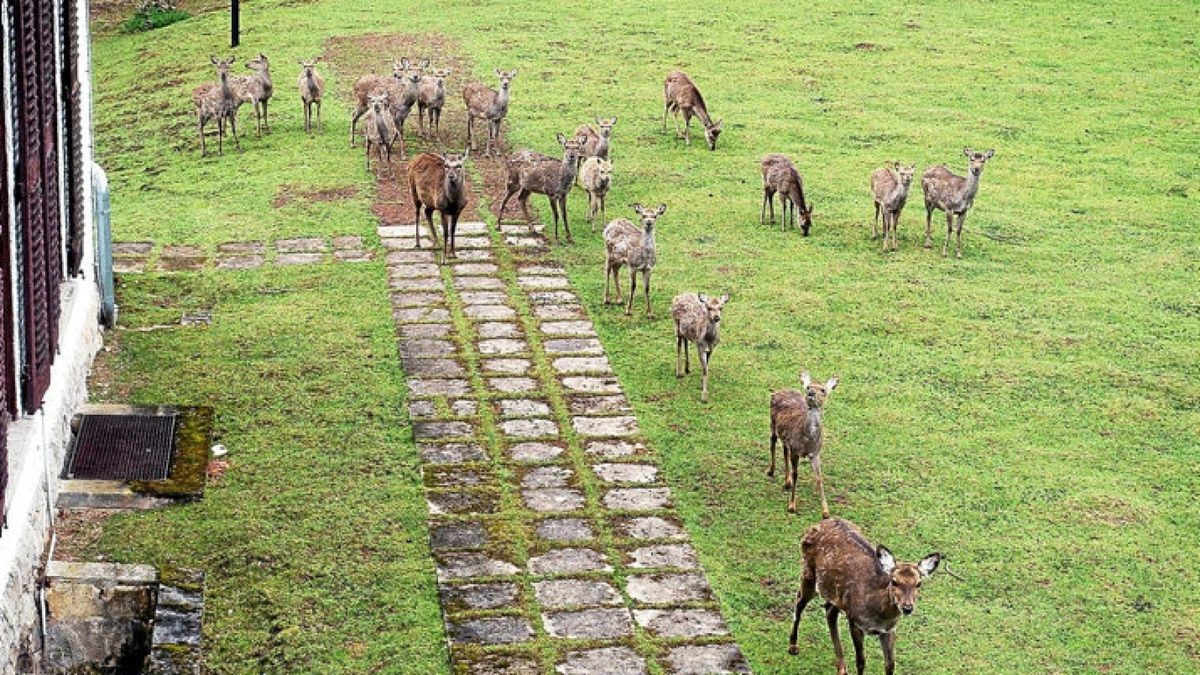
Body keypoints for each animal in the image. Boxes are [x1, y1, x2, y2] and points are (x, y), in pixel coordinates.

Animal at [772, 369, 840, 511]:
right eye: (808, 387)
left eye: (823, 390)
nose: (811, 393)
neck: (808, 441)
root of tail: (777, 392)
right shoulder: (795, 450)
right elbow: (796, 474)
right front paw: (792, 506)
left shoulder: (815, 453)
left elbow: (819, 477)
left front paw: (826, 510)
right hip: (772, 422)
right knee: (772, 441)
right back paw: (770, 471)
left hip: (786, 439)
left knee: (784, 450)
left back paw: (787, 483)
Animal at [787, 516, 945, 667]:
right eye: (894, 581)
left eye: (918, 584)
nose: (907, 607)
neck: (879, 614)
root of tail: (818, 523)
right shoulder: (854, 621)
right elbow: (861, 661)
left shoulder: (889, 629)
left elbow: (890, 663)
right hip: (809, 574)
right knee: (799, 602)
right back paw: (793, 646)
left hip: (835, 594)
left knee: (829, 610)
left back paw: (842, 668)